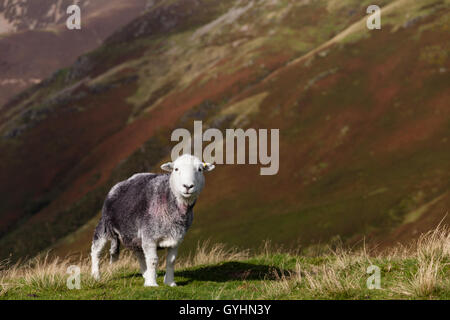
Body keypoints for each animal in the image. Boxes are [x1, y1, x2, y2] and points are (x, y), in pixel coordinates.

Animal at [90, 154, 215, 286]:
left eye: (200, 169)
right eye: (176, 169)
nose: (188, 186)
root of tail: (118, 185)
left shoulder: (176, 239)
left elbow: (171, 261)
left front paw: (170, 282)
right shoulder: (149, 237)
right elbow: (153, 260)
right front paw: (151, 284)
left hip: (135, 235)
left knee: (139, 254)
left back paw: (147, 274)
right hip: (104, 225)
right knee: (96, 250)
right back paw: (96, 276)